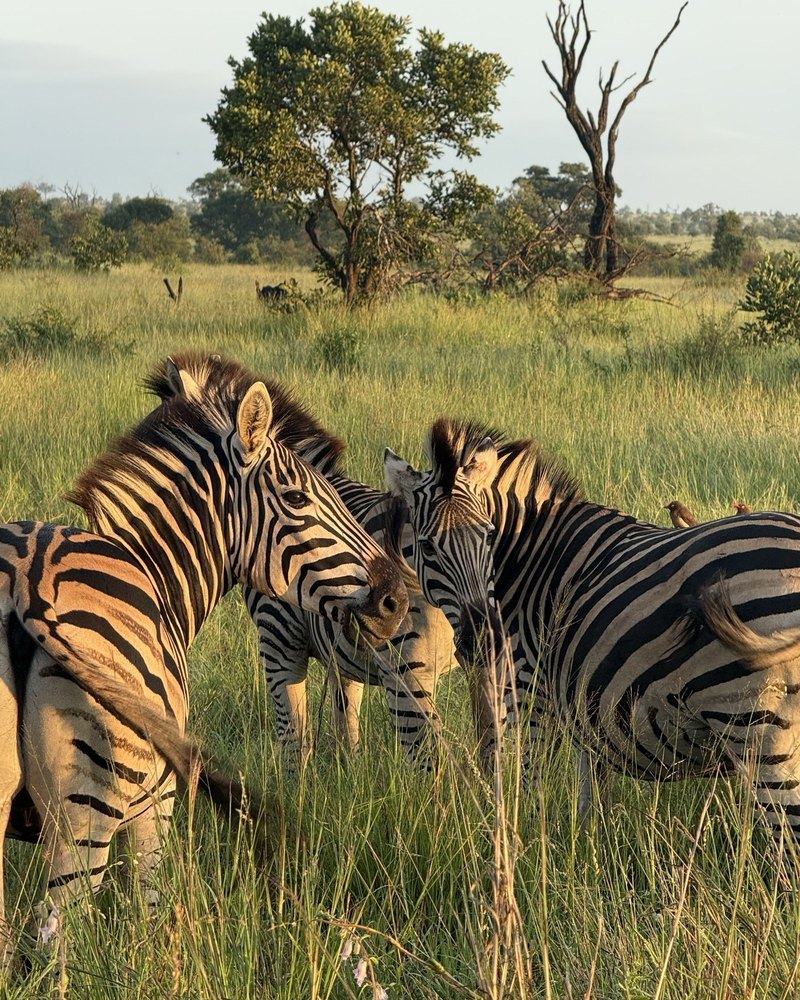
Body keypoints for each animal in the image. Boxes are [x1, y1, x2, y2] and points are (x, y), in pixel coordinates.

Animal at [0, 352, 407, 948]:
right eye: (298, 498)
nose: (396, 598)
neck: (149, 566)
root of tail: (25, 582)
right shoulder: (157, 803)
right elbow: (147, 914)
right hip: (86, 815)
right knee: (58, 939)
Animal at [152, 365, 463, 766]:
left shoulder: (279, 641)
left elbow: (294, 744)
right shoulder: (341, 654)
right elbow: (346, 728)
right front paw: (348, 774)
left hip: (407, 672)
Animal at [385, 416, 800, 844]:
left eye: (486, 534)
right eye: (427, 547)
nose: (486, 638)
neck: (532, 558)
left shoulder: (531, 691)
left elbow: (532, 779)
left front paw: (530, 841)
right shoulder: (585, 701)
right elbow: (591, 792)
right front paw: (587, 848)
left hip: (757, 725)